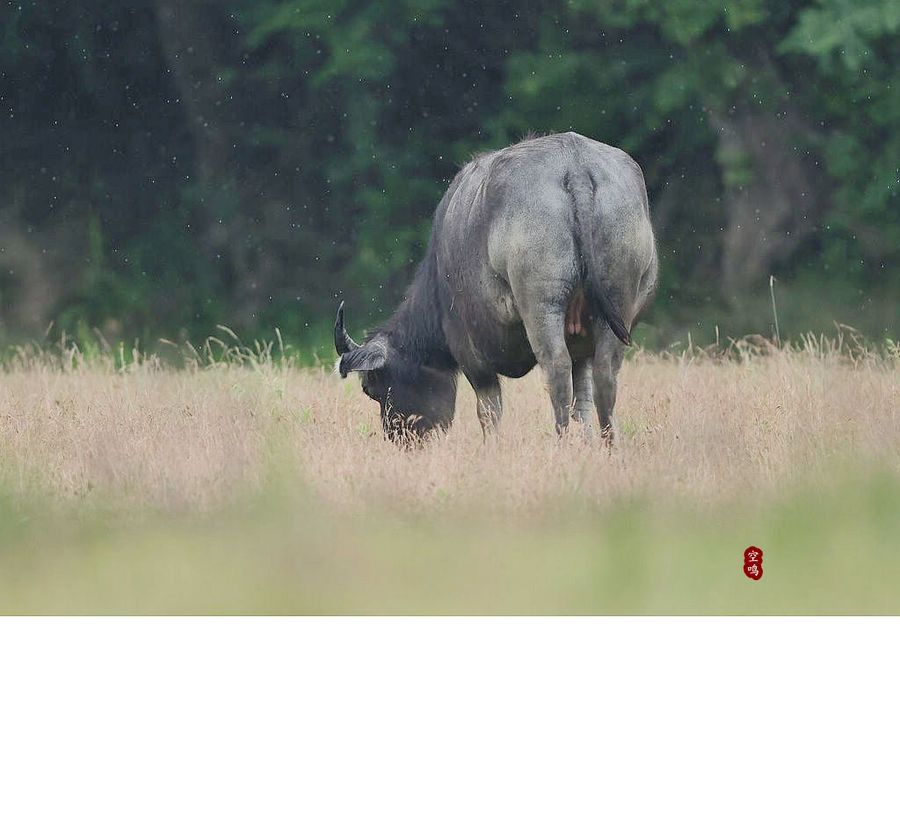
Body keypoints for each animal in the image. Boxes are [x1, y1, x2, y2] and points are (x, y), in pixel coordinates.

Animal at [334, 130, 656, 440]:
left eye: (372, 388)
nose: (399, 437)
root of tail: (575, 167)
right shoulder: (582, 349)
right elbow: (584, 404)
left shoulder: (470, 351)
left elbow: (488, 410)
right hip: (616, 302)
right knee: (605, 374)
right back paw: (611, 443)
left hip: (541, 304)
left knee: (557, 369)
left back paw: (561, 440)